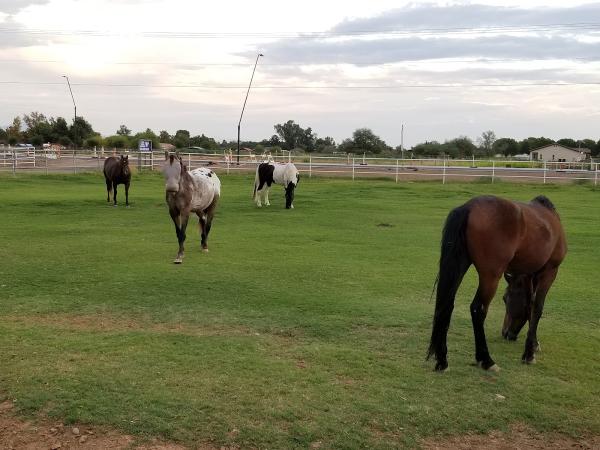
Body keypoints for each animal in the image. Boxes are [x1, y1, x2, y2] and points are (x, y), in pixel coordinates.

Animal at [428, 195, 564, 370]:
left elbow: (531, 305)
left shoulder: (530, 273)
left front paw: (533, 344)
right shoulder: (549, 272)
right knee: (478, 309)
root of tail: (469, 207)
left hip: (460, 264)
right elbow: (537, 308)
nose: (506, 333)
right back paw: (486, 360)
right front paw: (529, 353)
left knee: (446, 306)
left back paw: (442, 361)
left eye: (506, 298)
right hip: (490, 276)